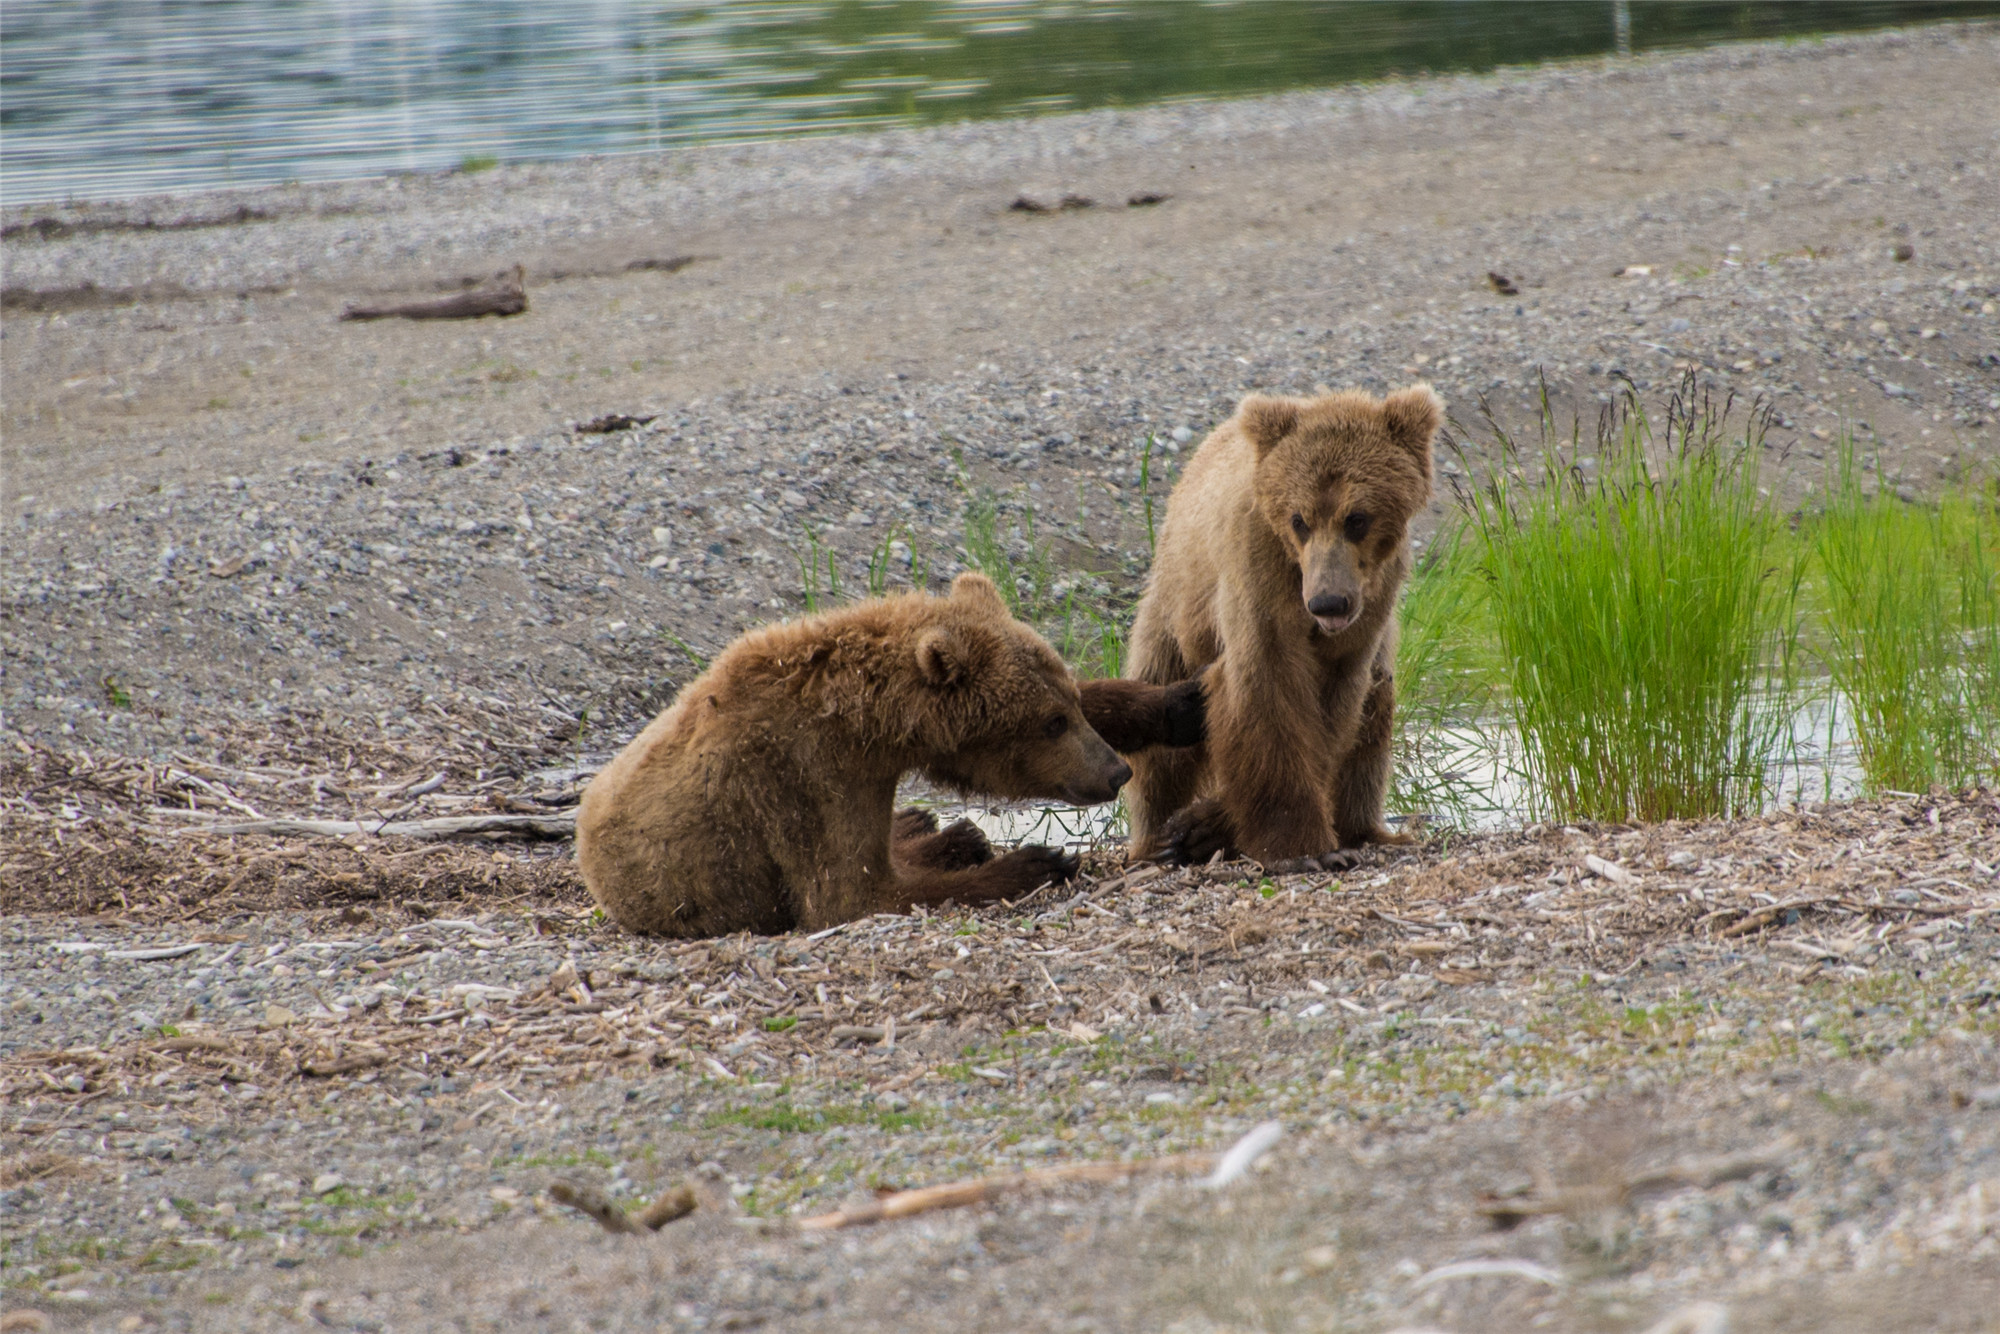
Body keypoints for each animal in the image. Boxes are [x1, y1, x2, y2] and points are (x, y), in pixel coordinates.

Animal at [576, 576, 1200, 940]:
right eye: (1051, 723)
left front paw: (1176, 703)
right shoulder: (803, 777)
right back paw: (952, 838)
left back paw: (937, 829)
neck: (865, 726)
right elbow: (850, 894)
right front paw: (1036, 862)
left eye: (1067, 705)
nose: (1115, 772)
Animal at [1128, 380, 1440, 872]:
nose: (1327, 601)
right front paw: (1301, 848)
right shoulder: (1260, 568)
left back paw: (1366, 829)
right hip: (1174, 612)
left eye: (1357, 518)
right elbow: (1266, 689)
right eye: (1300, 520)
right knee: (1159, 728)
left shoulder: (1370, 608)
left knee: (1375, 713)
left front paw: (1213, 824)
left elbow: (1335, 711)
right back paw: (1154, 839)